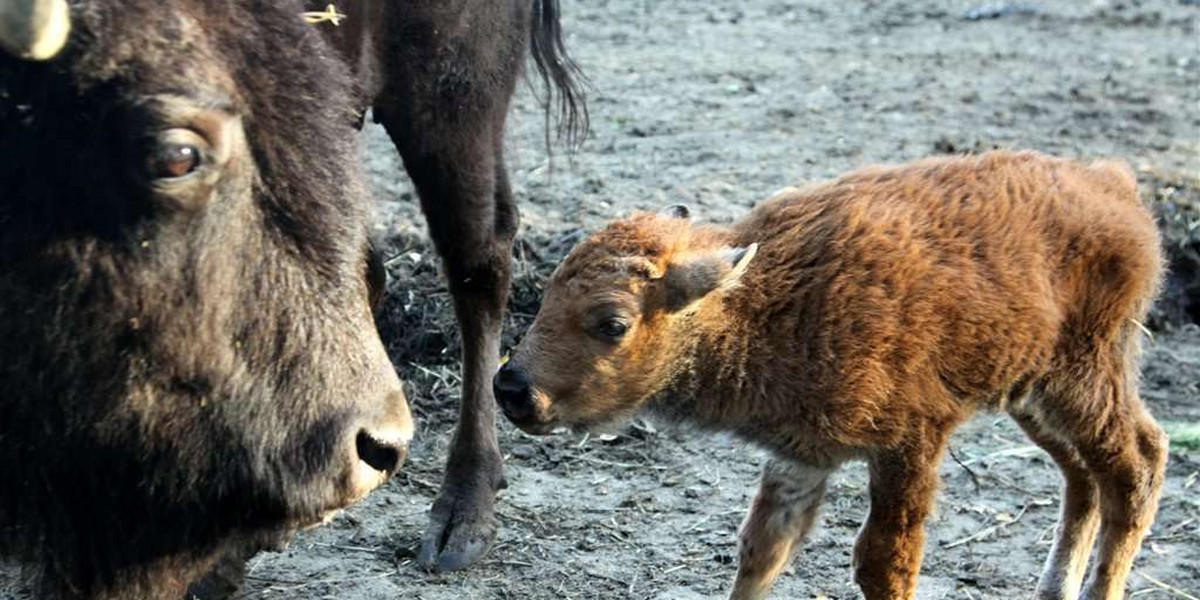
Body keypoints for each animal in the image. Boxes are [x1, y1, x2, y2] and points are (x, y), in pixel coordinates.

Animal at [499, 151, 1171, 600]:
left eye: (612, 322)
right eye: (549, 292)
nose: (511, 389)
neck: (765, 300)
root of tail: (1115, 185)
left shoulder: (908, 446)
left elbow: (883, 561)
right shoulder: (802, 456)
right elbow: (762, 548)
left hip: (1084, 379)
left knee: (1137, 465)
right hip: (1031, 395)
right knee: (1082, 478)